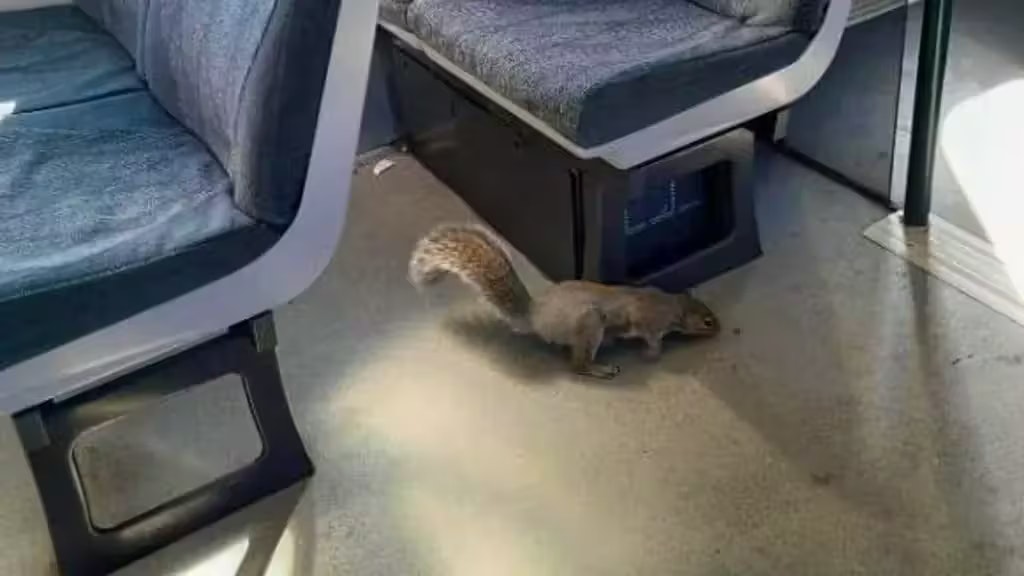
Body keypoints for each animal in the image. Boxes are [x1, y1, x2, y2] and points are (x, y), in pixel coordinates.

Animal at [409, 223, 721, 379]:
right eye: (707, 321)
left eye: (710, 311)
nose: (718, 329)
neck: (674, 306)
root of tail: (536, 316)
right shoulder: (650, 321)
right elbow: (651, 338)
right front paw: (653, 354)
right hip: (590, 323)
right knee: (577, 365)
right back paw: (599, 368)